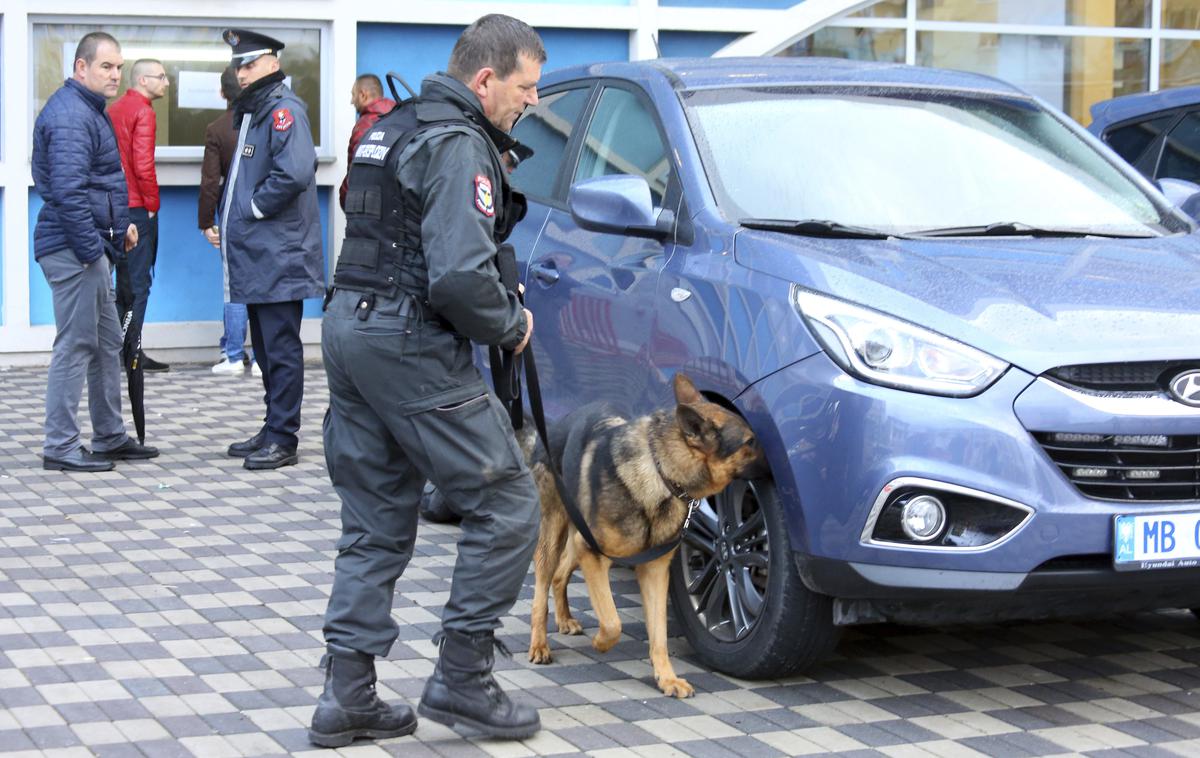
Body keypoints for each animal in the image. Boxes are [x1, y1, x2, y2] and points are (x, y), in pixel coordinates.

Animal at [525, 374, 768, 700]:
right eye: (749, 442)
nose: (779, 468)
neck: (660, 472)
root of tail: (554, 427)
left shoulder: (653, 570)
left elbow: (659, 634)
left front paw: (667, 678)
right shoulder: (594, 555)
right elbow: (612, 621)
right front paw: (601, 643)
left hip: (581, 544)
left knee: (561, 574)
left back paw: (564, 619)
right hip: (555, 536)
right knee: (542, 588)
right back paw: (539, 644)